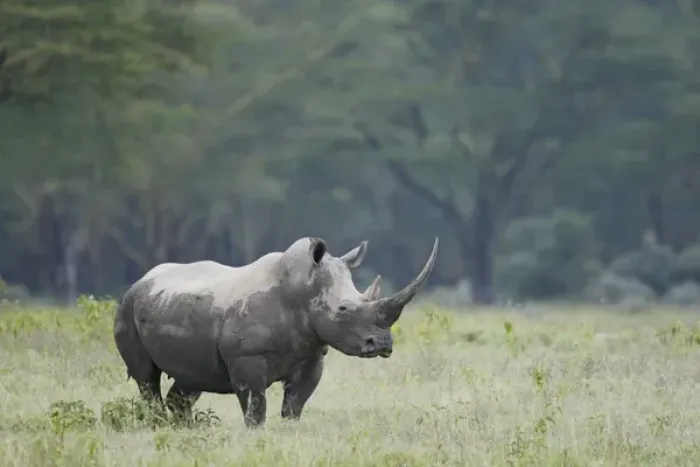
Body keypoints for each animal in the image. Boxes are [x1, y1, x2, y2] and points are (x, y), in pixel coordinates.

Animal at [113, 236, 439, 428]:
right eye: (343, 309)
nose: (382, 344)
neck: (303, 291)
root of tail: (141, 280)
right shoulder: (247, 358)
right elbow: (255, 407)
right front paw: (257, 438)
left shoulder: (313, 355)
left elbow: (295, 406)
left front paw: (288, 433)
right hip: (127, 307)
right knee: (146, 377)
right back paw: (158, 424)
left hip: (172, 305)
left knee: (190, 380)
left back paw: (184, 429)